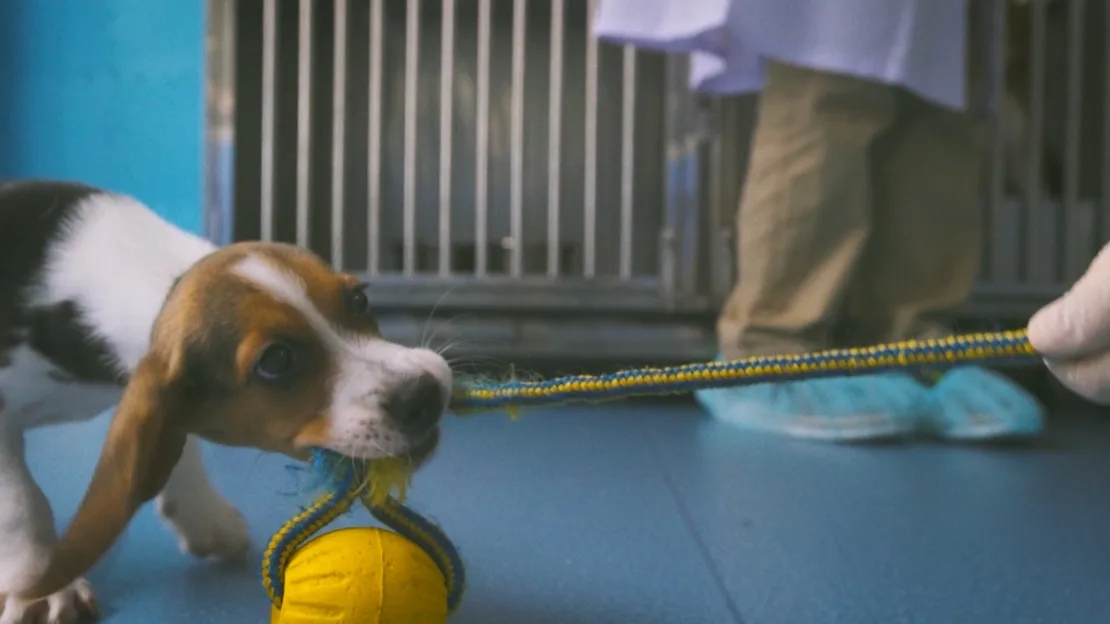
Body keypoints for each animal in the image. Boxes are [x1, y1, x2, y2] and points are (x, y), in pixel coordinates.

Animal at [0, 177, 455, 617]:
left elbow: (181, 450)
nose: (425, 394)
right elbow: (21, 502)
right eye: (276, 361)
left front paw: (204, 517)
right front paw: (42, 583)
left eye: (359, 298)